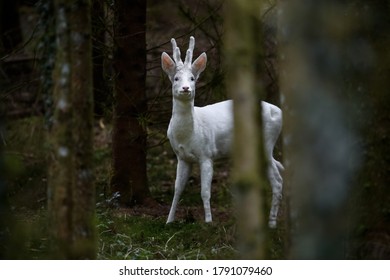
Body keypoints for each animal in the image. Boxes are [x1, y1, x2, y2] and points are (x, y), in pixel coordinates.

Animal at [161, 36, 284, 228]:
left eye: (192, 78)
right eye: (176, 78)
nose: (186, 88)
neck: (188, 134)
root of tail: (278, 111)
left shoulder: (206, 154)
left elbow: (205, 191)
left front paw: (208, 221)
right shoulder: (182, 157)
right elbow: (177, 189)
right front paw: (169, 221)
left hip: (267, 142)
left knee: (278, 181)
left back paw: (271, 224)